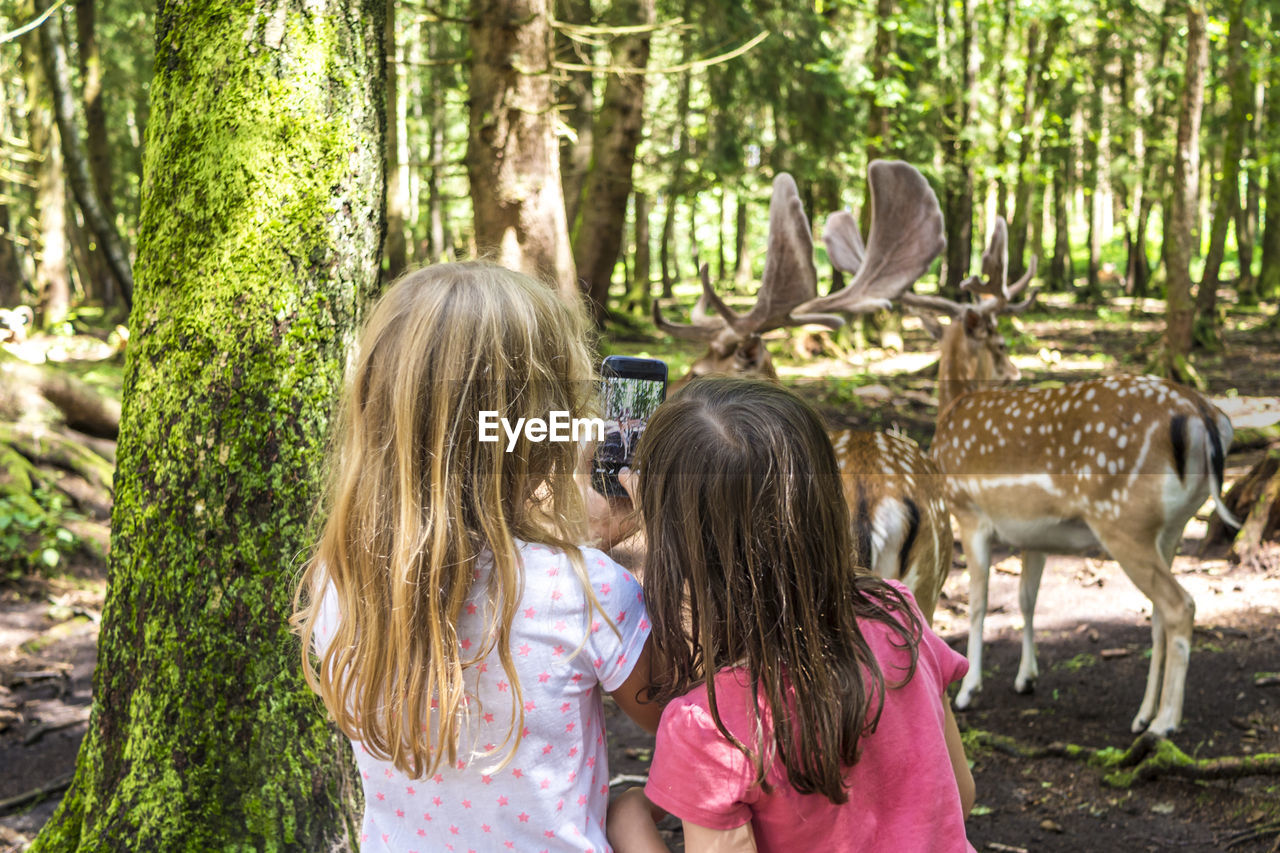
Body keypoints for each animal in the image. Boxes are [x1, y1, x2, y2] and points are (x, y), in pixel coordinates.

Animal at [880, 217, 1239, 732]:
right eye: (1001, 342)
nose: (1014, 373)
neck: (951, 411)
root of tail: (1205, 416)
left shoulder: (970, 511)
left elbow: (978, 601)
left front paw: (969, 690)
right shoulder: (1034, 534)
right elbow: (1026, 598)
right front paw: (1026, 678)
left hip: (1123, 519)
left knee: (1180, 605)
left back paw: (1166, 722)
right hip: (1171, 525)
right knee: (1157, 613)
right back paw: (1143, 716)